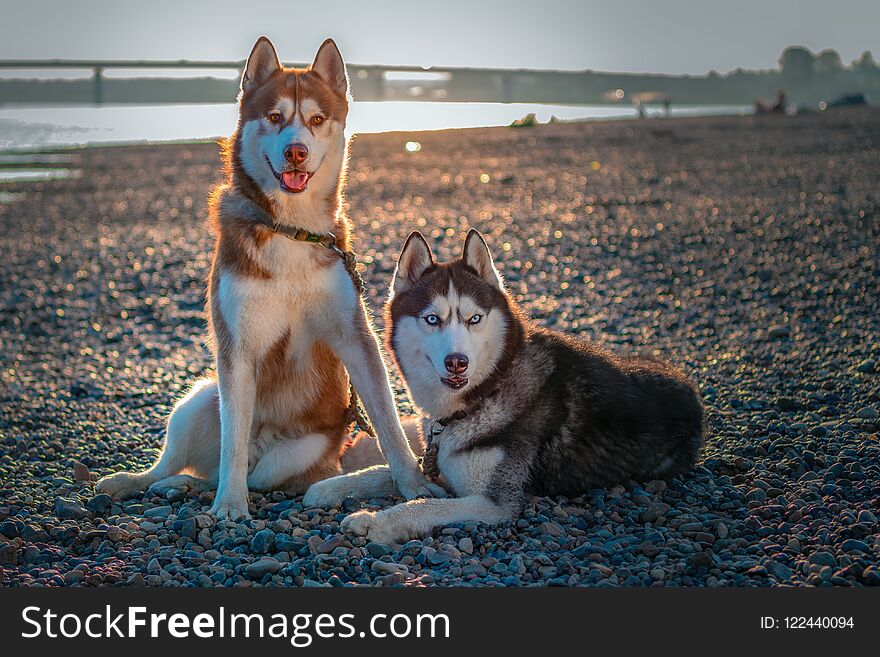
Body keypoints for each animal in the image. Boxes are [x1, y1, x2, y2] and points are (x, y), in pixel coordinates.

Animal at [306, 228, 704, 540]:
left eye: (475, 319)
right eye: (432, 319)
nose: (457, 361)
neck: (486, 392)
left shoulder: (494, 502)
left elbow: (424, 505)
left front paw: (376, 522)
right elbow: (388, 472)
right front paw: (328, 488)